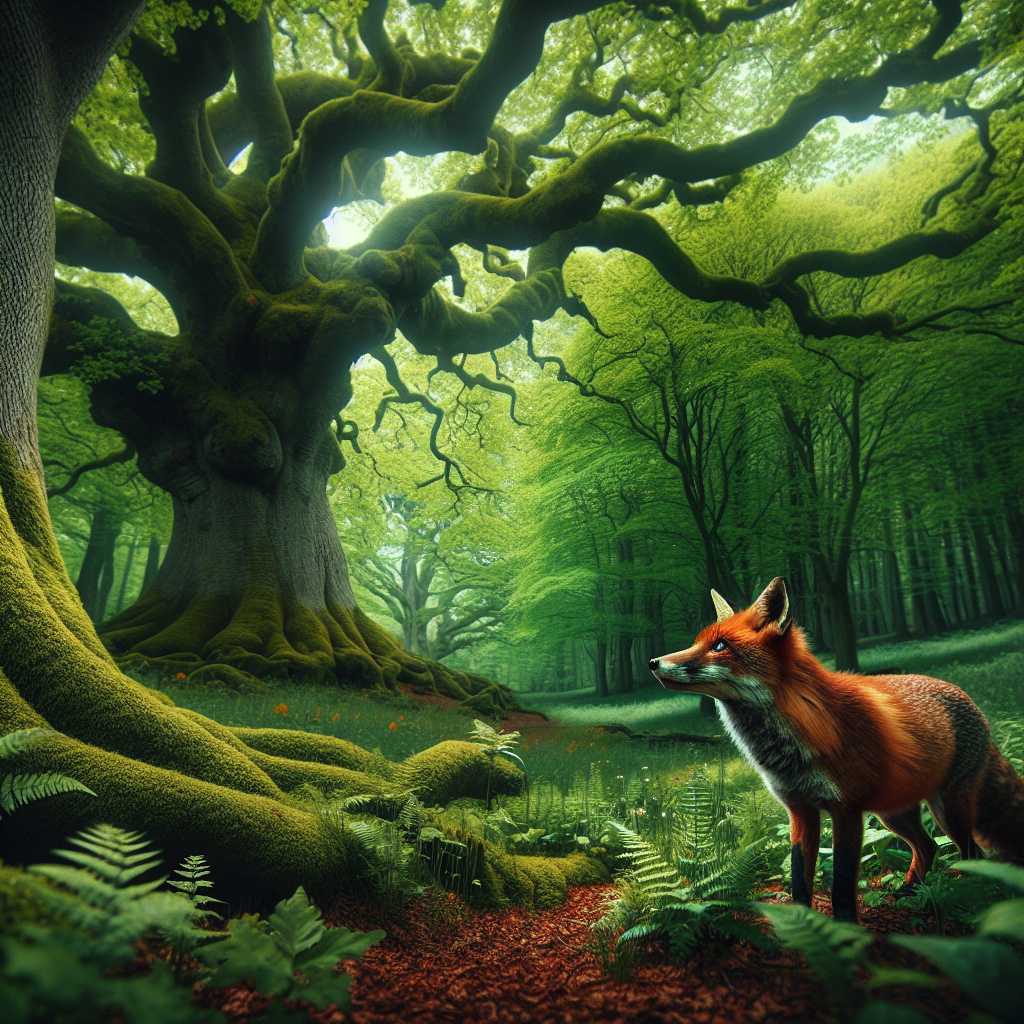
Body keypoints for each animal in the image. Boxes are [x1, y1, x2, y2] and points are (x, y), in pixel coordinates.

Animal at [649, 576, 1024, 921]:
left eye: (720, 646)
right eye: (698, 642)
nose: (654, 662)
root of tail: (969, 700)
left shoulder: (847, 810)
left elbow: (842, 882)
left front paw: (846, 928)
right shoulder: (799, 810)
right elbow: (799, 877)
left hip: (948, 811)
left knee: (973, 852)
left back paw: (970, 893)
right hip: (894, 813)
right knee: (928, 846)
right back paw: (909, 893)